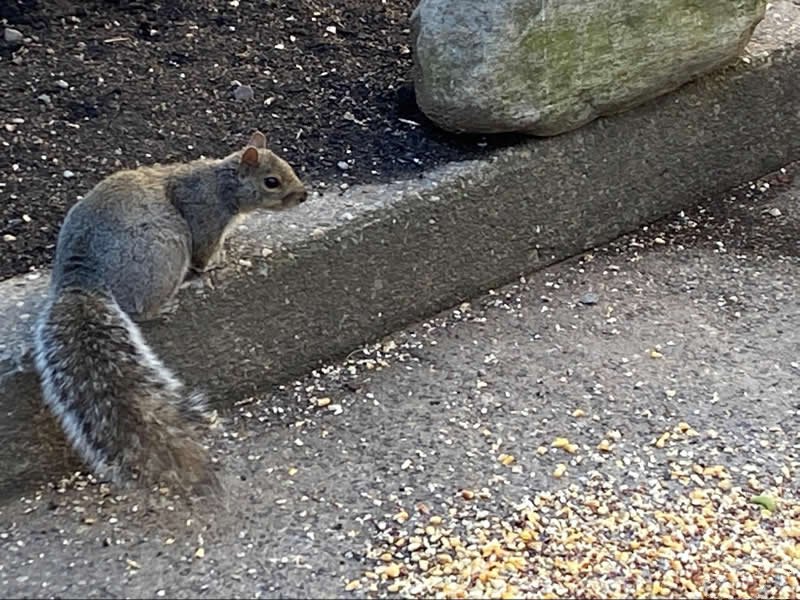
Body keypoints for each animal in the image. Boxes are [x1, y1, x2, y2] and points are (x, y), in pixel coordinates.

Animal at [32, 131, 306, 492]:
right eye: (271, 181)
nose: (304, 195)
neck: (222, 185)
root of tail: (81, 277)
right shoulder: (205, 217)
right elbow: (204, 254)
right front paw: (216, 263)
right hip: (165, 250)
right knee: (140, 309)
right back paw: (167, 305)